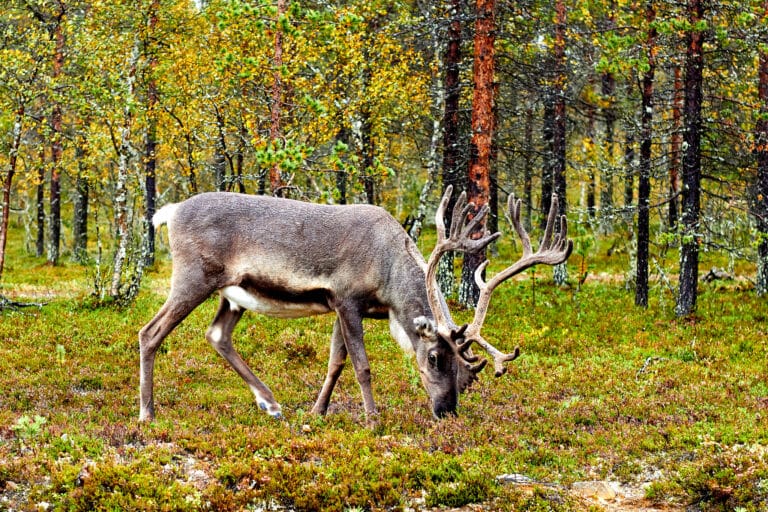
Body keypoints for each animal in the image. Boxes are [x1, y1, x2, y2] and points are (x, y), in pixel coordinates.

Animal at [138, 186, 572, 423]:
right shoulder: (347, 299)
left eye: (469, 374)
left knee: (217, 335)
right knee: (149, 332)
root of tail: (170, 212)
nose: (446, 410)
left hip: (233, 294)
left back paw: (271, 403)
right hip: (193, 277)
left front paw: (317, 412)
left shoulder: (341, 307)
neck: (388, 279)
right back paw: (147, 412)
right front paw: (373, 419)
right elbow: (361, 366)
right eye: (434, 357)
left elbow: (335, 362)